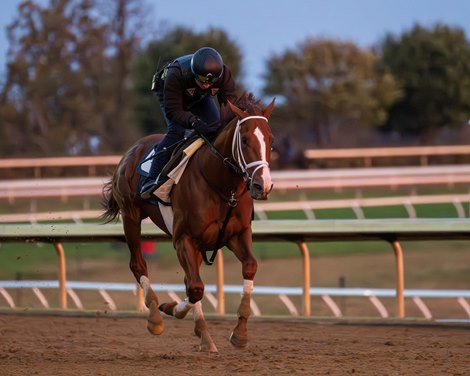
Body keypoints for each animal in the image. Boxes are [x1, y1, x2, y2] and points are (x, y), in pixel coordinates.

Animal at [101, 93, 274, 352]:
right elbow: (195, 288)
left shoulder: (237, 234)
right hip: (130, 216)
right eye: (244, 140)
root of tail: (131, 150)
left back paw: (204, 337)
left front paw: (240, 333)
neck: (221, 185)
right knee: (138, 265)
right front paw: (169, 308)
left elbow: (249, 267)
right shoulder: (184, 239)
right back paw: (156, 318)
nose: (262, 185)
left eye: (270, 140)